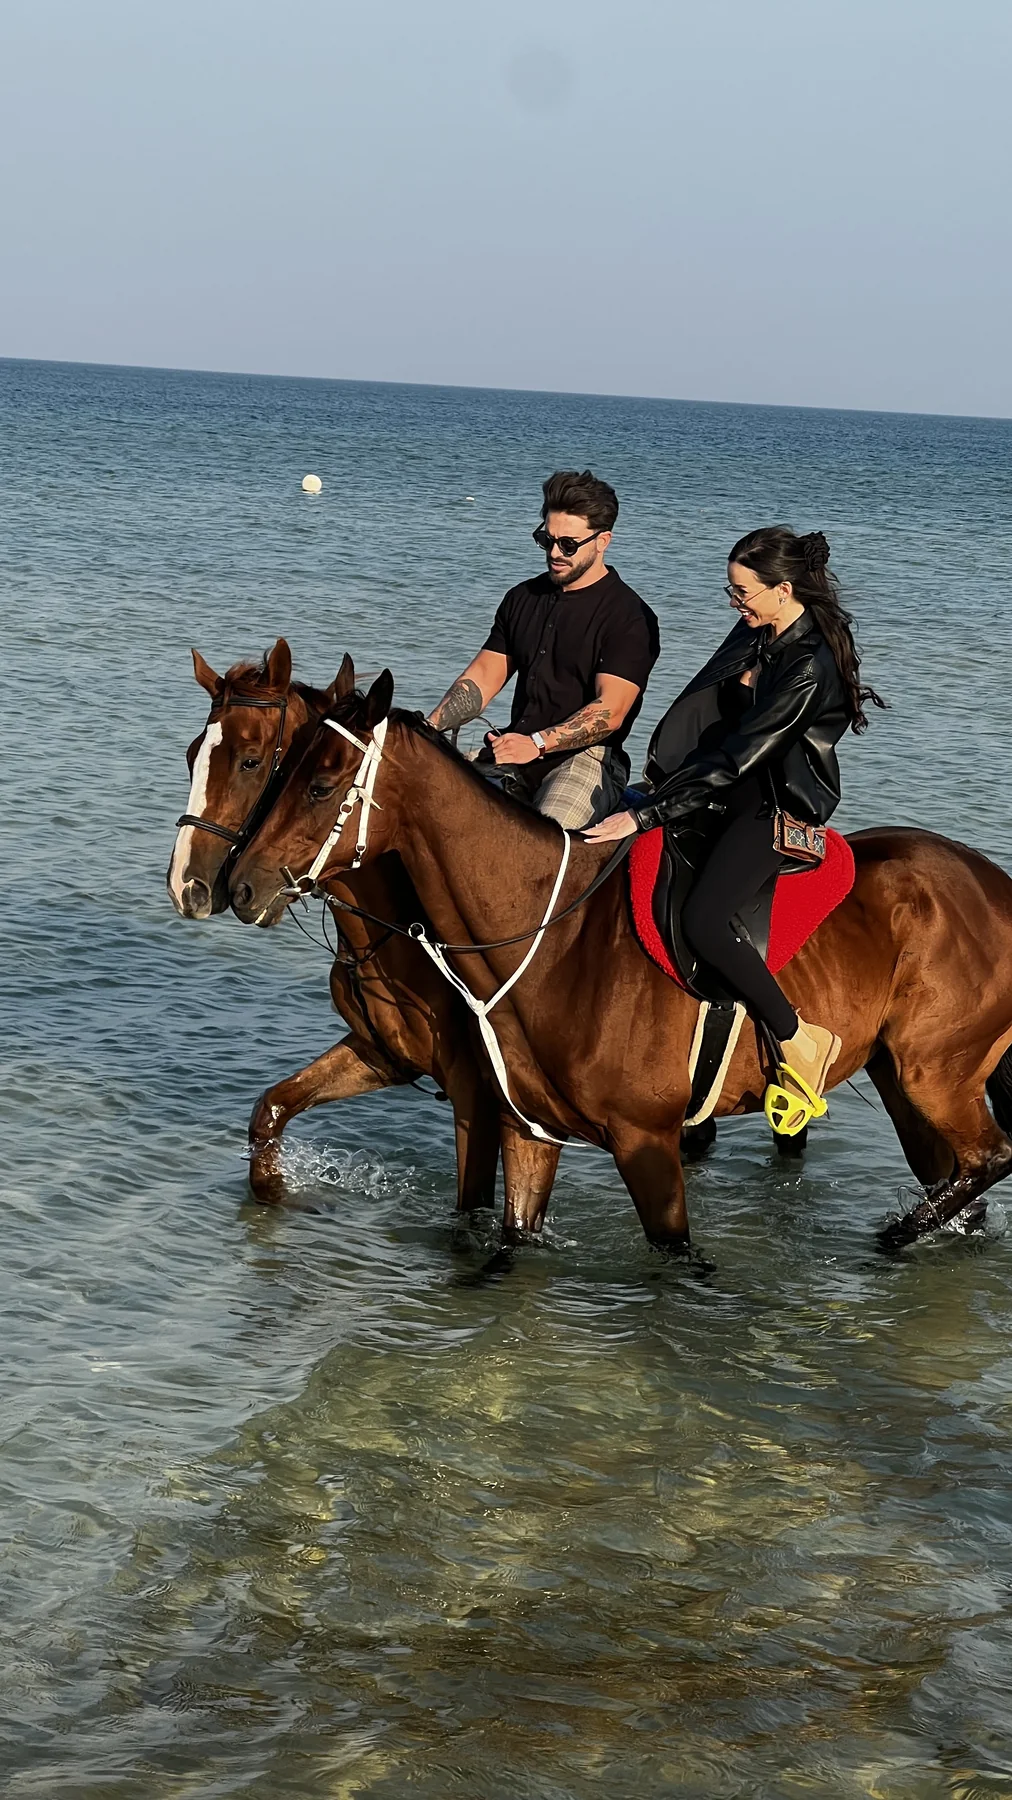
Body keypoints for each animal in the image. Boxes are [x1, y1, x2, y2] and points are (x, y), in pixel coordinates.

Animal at [167, 639, 562, 1228]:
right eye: (193, 756)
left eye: (250, 761)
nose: (188, 887)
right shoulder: (382, 1053)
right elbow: (270, 1111)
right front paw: (282, 1193)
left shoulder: (478, 1096)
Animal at [228, 662, 1012, 1254]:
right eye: (279, 772)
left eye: (319, 785)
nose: (238, 884)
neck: (552, 936)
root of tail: (993, 883)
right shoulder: (526, 1130)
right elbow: (507, 1251)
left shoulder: (645, 1144)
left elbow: (676, 1264)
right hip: (902, 1080)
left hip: (935, 1075)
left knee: (990, 1157)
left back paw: (895, 1235)